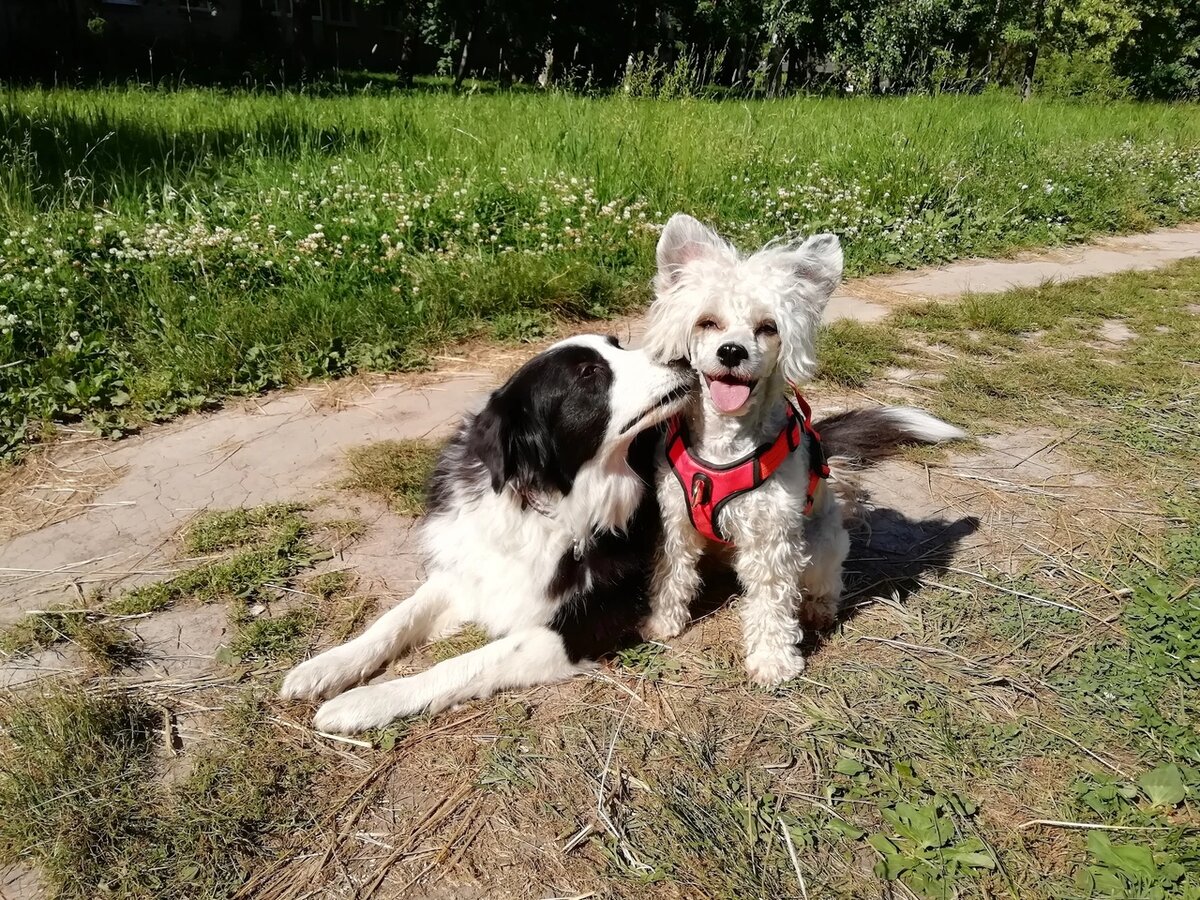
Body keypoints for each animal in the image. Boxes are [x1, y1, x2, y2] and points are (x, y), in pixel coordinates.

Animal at [282, 336, 696, 734]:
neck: (545, 503)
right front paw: (326, 666)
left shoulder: (584, 624)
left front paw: (365, 701)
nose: (682, 357)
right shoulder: (471, 568)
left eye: (618, 345)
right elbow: (395, 619)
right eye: (588, 373)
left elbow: (463, 663)